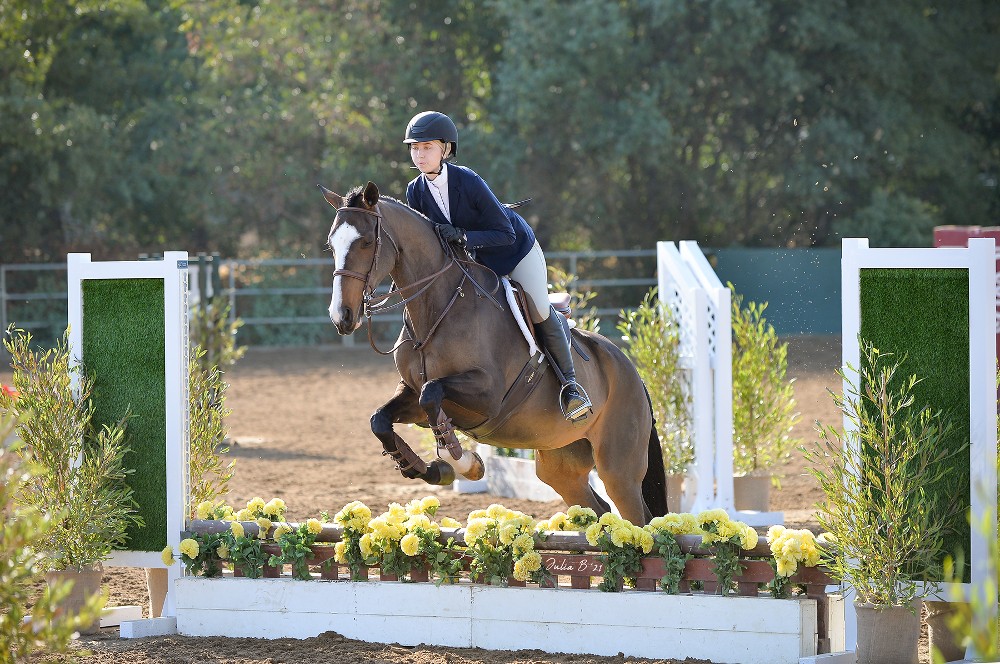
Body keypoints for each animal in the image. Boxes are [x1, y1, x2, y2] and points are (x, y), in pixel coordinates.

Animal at [324, 180, 668, 524]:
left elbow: (431, 395)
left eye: (366, 242)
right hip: (561, 460)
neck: (437, 308)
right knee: (598, 509)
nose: (342, 316)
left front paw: (466, 464)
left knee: (638, 516)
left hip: (618, 466)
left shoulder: (487, 396)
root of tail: (631, 371)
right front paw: (425, 468)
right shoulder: (411, 393)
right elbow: (381, 419)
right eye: (332, 246)